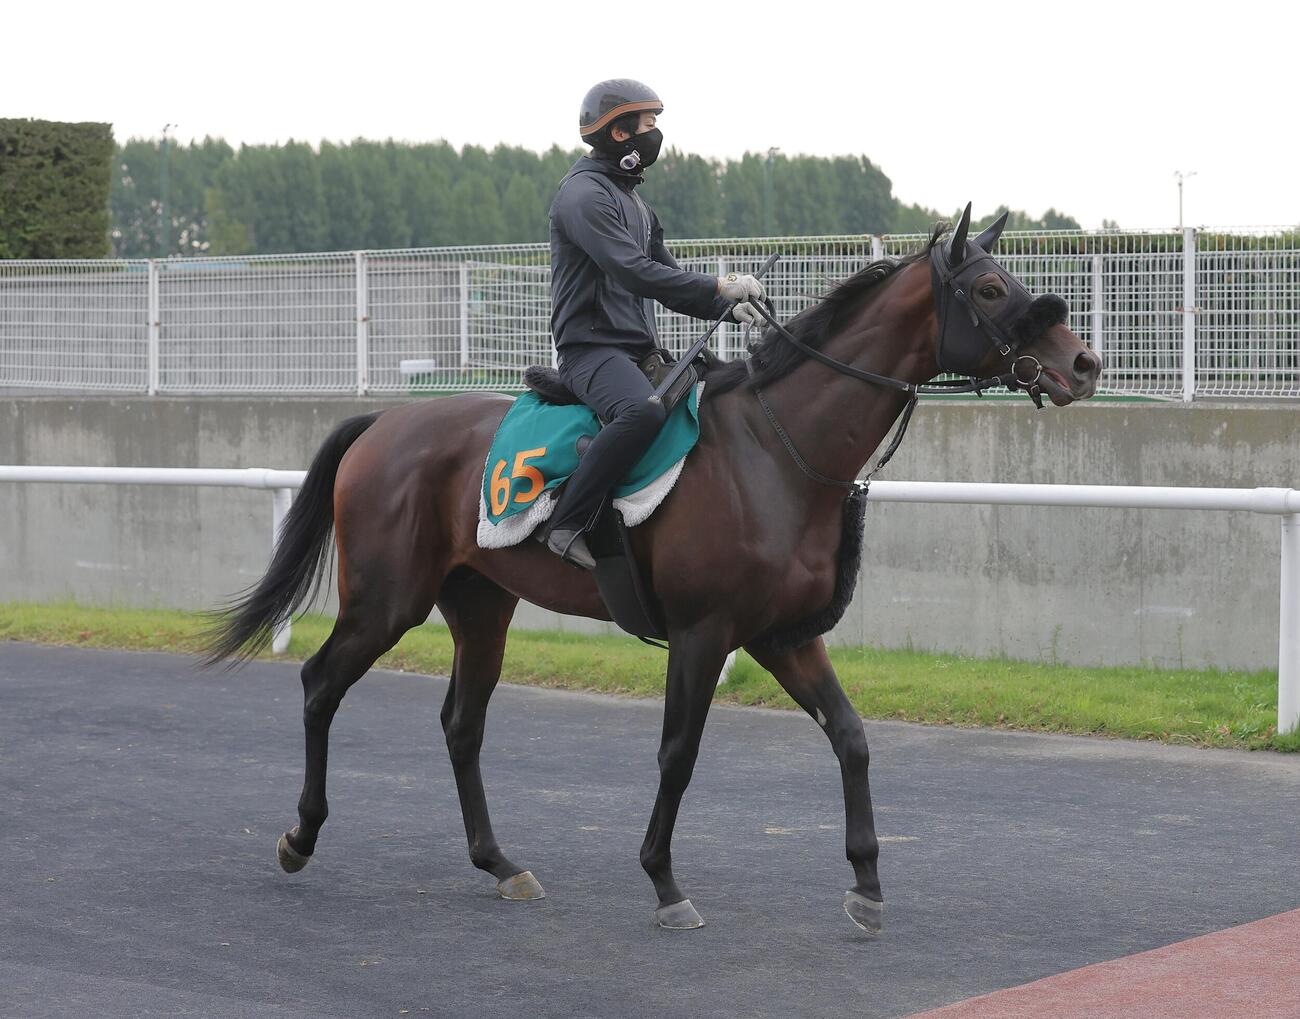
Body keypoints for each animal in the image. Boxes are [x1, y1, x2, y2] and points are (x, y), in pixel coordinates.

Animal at [204, 206, 1102, 933]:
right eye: (990, 287)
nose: (1084, 364)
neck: (776, 450)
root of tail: (384, 421)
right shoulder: (704, 633)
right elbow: (679, 752)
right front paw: (666, 884)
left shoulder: (782, 635)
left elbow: (851, 738)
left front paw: (868, 883)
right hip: (387, 599)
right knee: (320, 683)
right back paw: (300, 835)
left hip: (480, 603)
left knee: (462, 723)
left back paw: (499, 861)